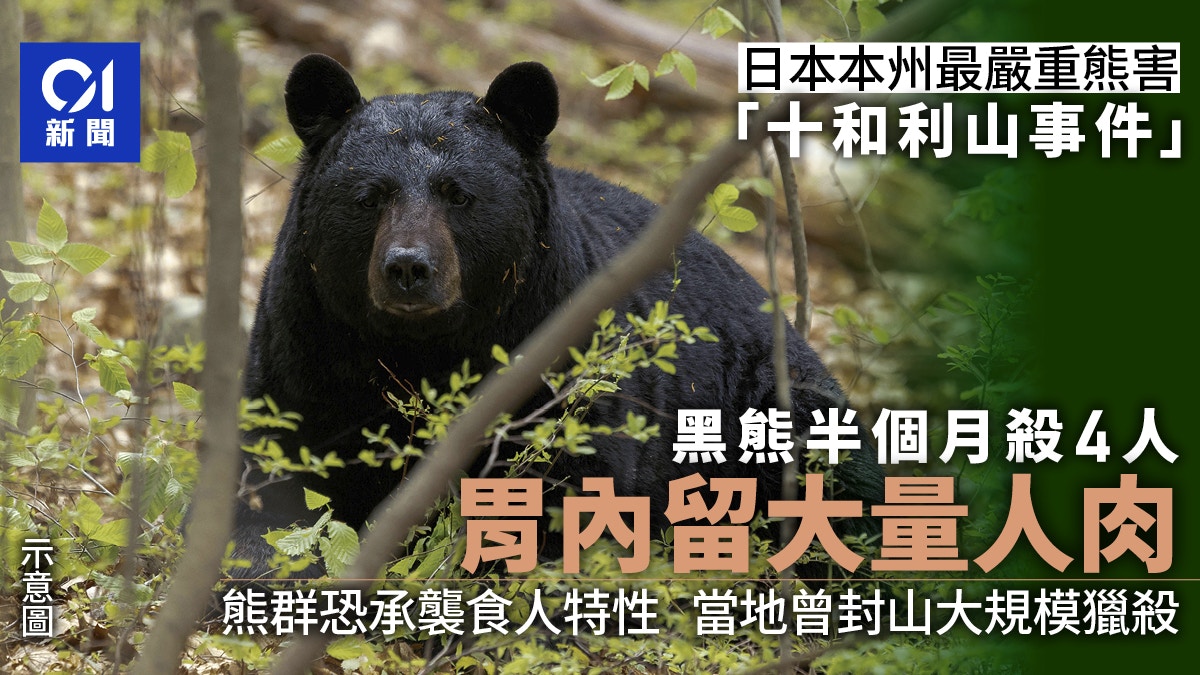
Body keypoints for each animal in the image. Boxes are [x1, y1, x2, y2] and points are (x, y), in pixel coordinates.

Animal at [231, 54, 885, 578]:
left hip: (768, 401)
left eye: (458, 193)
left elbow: (569, 487)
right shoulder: (307, 348)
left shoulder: (560, 359)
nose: (409, 267)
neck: (424, 348)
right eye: (369, 196)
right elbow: (271, 477)